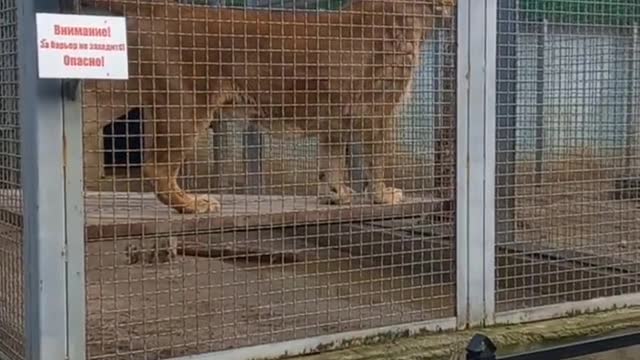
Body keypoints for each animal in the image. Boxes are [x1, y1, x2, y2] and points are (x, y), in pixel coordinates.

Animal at [80, 0, 458, 214]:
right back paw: (194, 204)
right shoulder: (376, 109)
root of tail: (160, 8)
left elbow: (332, 160)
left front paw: (335, 195)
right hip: (187, 105)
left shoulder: (336, 114)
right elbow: (377, 158)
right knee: (157, 167)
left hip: (116, 92)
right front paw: (382, 196)